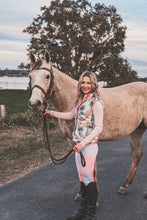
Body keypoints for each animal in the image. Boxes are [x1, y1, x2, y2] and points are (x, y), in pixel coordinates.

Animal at [28, 50, 147, 195]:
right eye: (30, 76)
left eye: (47, 76)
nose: (34, 103)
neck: (72, 98)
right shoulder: (72, 141)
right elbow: (79, 166)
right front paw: (81, 193)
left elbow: (90, 167)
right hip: (137, 130)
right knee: (137, 155)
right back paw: (124, 186)